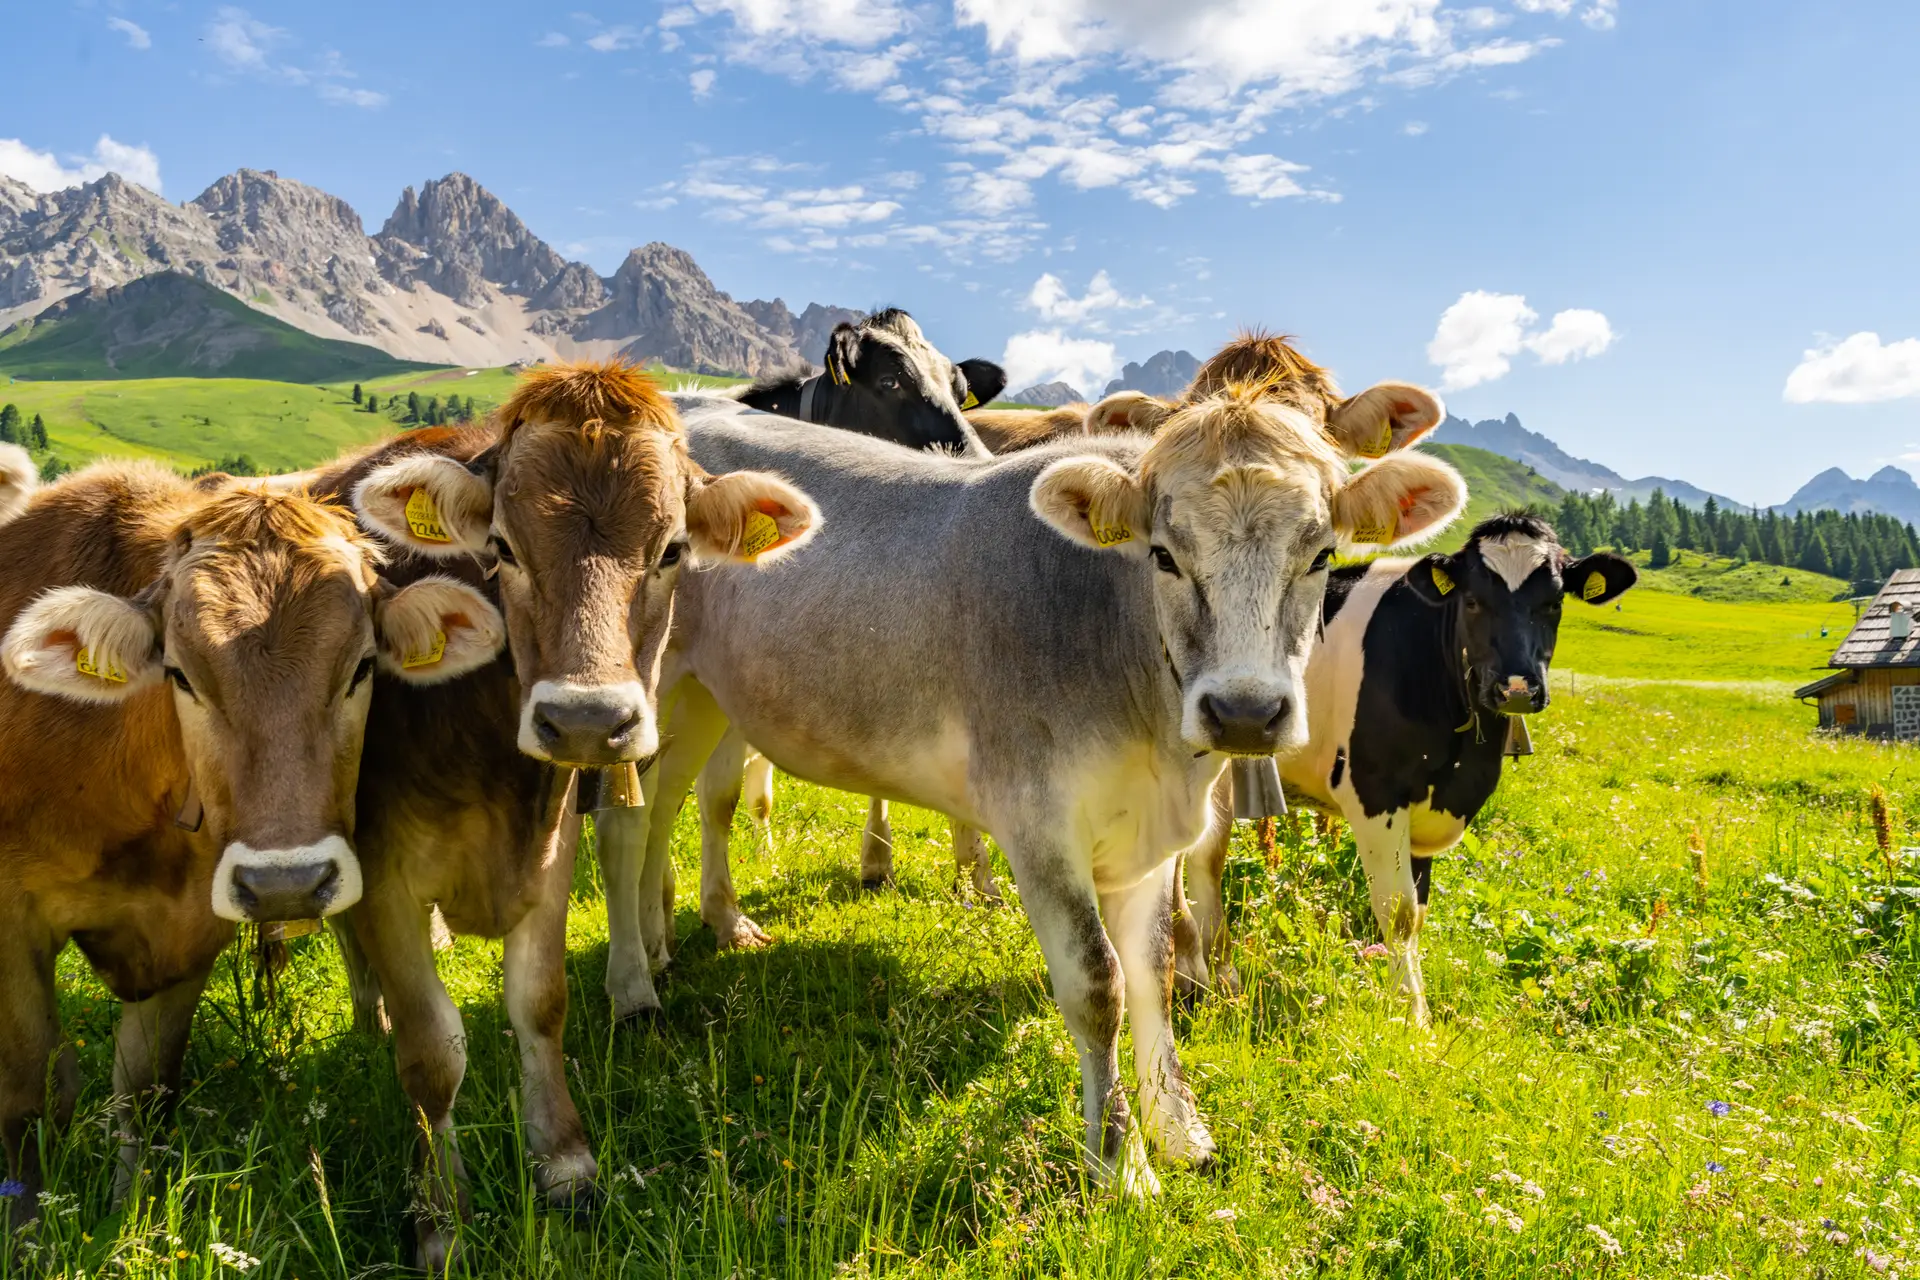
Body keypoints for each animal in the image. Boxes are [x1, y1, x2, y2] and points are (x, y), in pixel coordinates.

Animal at [0, 468, 503, 1224]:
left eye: (362, 668)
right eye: (179, 673)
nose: (285, 884)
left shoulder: (190, 931)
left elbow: (145, 1088)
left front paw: (128, 1209)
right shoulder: (12, 924)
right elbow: (27, 1096)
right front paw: (28, 1227)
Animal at [302, 361, 818, 1269]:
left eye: (672, 550)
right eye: (502, 548)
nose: (584, 719)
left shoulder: (549, 844)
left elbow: (540, 1005)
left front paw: (567, 1164)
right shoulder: (385, 867)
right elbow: (430, 1051)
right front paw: (440, 1214)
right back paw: (368, 1011)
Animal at [596, 383, 1465, 1192]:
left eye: (1319, 557)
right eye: (1163, 555)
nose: (1245, 712)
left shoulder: (1151, 840)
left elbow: (1152, 974)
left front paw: (1179, 1130)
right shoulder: (1036, 821)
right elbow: (1098, 985)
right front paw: (1122, 1166)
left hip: (706, 696)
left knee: (671, 805)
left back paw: (671, 938)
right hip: (643, 685)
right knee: (624, 824)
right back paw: (634, 987)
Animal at [1173, 512, 1637, 1023]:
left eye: (1554, 603)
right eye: (1472, 601)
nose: (1516, 688)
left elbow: (1418, 913)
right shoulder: (1375, 792)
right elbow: (1397, 913)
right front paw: (1412, 1015)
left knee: (1203, 856)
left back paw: (1217, 977)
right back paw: (1196, 977)